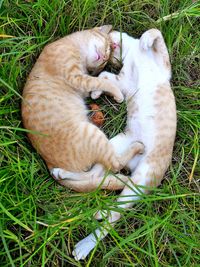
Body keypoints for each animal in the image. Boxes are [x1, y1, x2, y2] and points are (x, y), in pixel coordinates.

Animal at [22, 25, 144, 178]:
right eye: (106, 48)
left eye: (105, 61)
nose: (105, 57)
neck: (73, 45)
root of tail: (49, 164)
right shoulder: (77, 78)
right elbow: (100, 81)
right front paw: (117, 94)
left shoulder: (82, 83)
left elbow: (99, 81)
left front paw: (99, 93)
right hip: (93, 134)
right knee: (115, 165)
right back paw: (138, 146)